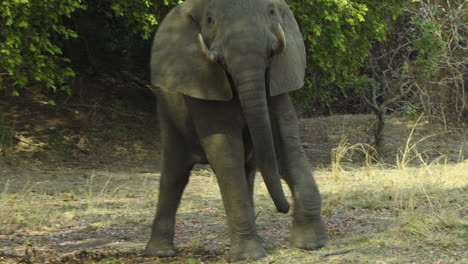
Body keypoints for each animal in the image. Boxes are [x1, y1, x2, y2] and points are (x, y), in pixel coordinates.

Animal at [144, 0, 328, 260]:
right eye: (210, 20)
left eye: (271, 12)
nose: (283, 208)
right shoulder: (203, 81)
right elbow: (226, 152)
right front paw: (249, 257)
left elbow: (286, 144)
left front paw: (312, 244)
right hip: (167, 110)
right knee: (175, 173)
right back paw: (160, 253)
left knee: (247, 170)